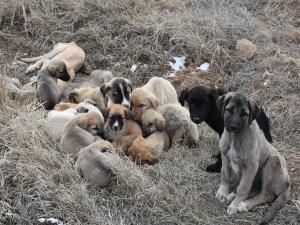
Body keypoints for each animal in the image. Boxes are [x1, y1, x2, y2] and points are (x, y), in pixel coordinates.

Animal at [214, 92, 290, 225]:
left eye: (244, 114)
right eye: (229, 110)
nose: (233, 127)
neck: (236, 138)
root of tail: (287, 187)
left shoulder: (251, 167)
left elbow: (243, 188)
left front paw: (235, 205)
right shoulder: (225, 156)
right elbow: (225, 174)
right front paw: (223, 191)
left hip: (272, 162)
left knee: (266, 194)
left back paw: (244, 204)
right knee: (255, 189)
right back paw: (232, 195)